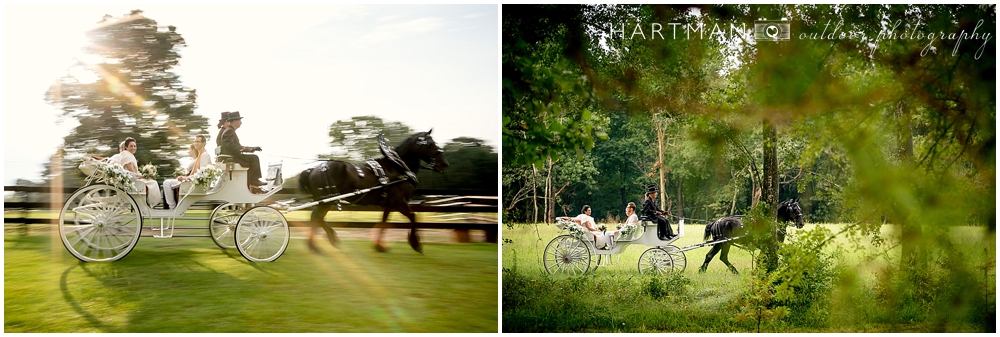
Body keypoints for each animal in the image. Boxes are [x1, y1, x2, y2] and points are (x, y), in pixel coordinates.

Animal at [296, 130, 450, 253]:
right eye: (429, 144)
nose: (444, 164)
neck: (398, 168)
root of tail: (314, 169)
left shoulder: (389, 204)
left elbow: (384, 221)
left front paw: (379, 246)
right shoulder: (399, 202)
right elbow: (413, 217)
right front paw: (415, 243)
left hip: (325, 201)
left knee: (316, 218)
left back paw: (319, 243)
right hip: (327, 200)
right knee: (316, 217)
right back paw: (325, 241)